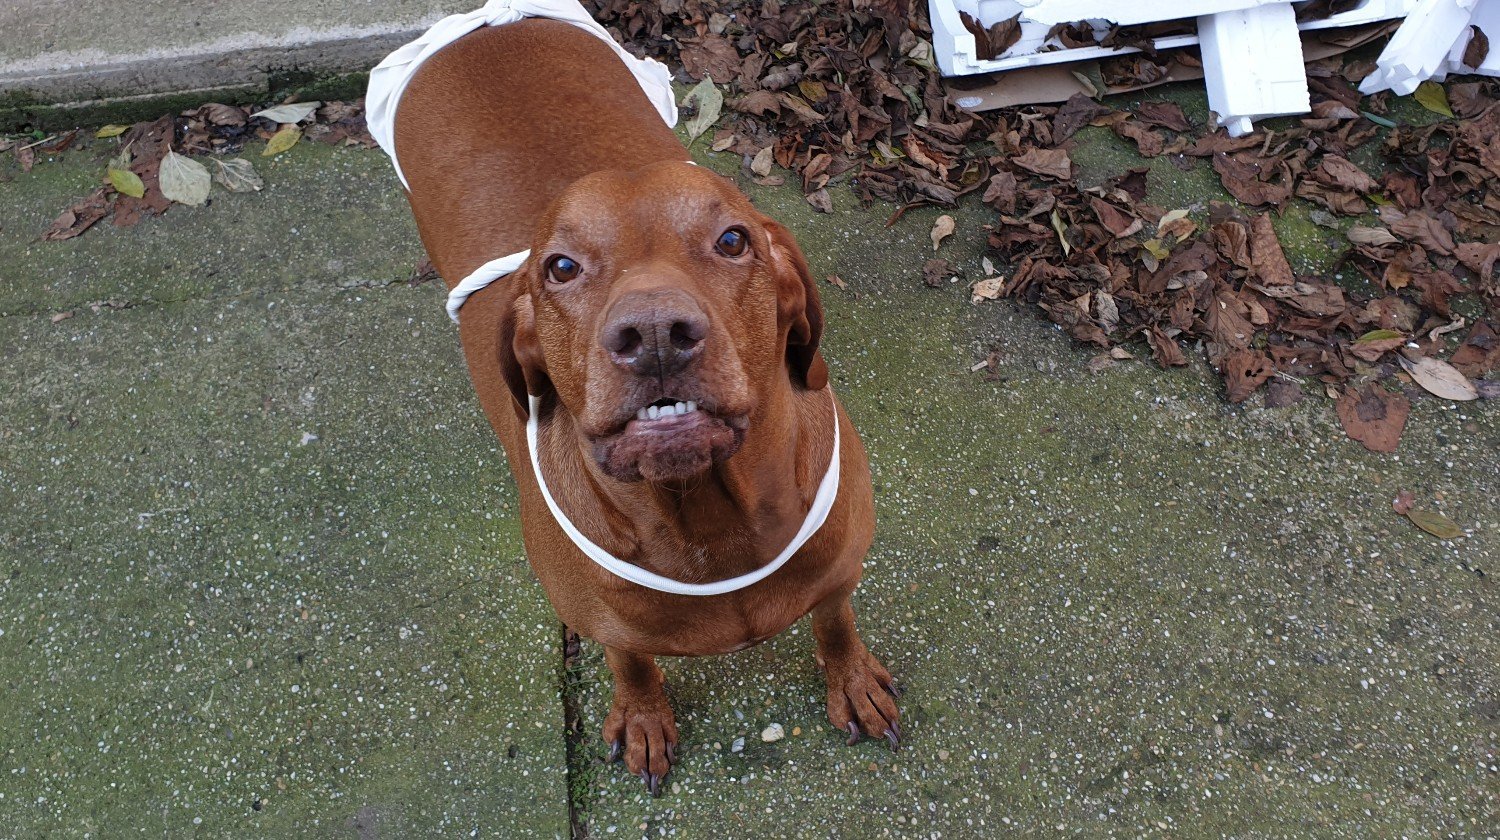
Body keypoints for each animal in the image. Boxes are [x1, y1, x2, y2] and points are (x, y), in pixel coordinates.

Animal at [381, 10, 899, 794]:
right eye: (561, 267)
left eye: (733, 239)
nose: (655, 334)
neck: (708, 522)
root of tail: (491, 23)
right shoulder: (596, 618)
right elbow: (628, 659)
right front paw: (644, 715)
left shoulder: (841, 569)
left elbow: (835, 620)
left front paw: (853, 679)